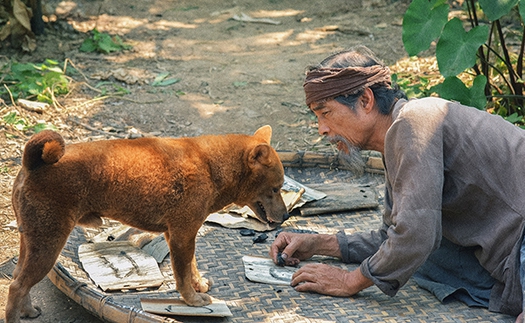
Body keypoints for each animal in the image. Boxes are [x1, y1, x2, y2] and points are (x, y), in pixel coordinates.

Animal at [6, 125, 288, 322]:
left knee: (19, 279)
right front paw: (193, 300)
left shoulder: (182, 234)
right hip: (48, 244)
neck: (210, 166)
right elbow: (182, 276)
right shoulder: (182, 234)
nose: (286, 216)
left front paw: (198, 285)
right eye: (276, 189)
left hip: (31, 241)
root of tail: (32, 163)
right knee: (16, 286)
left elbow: (192, 266)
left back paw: (28, 311)